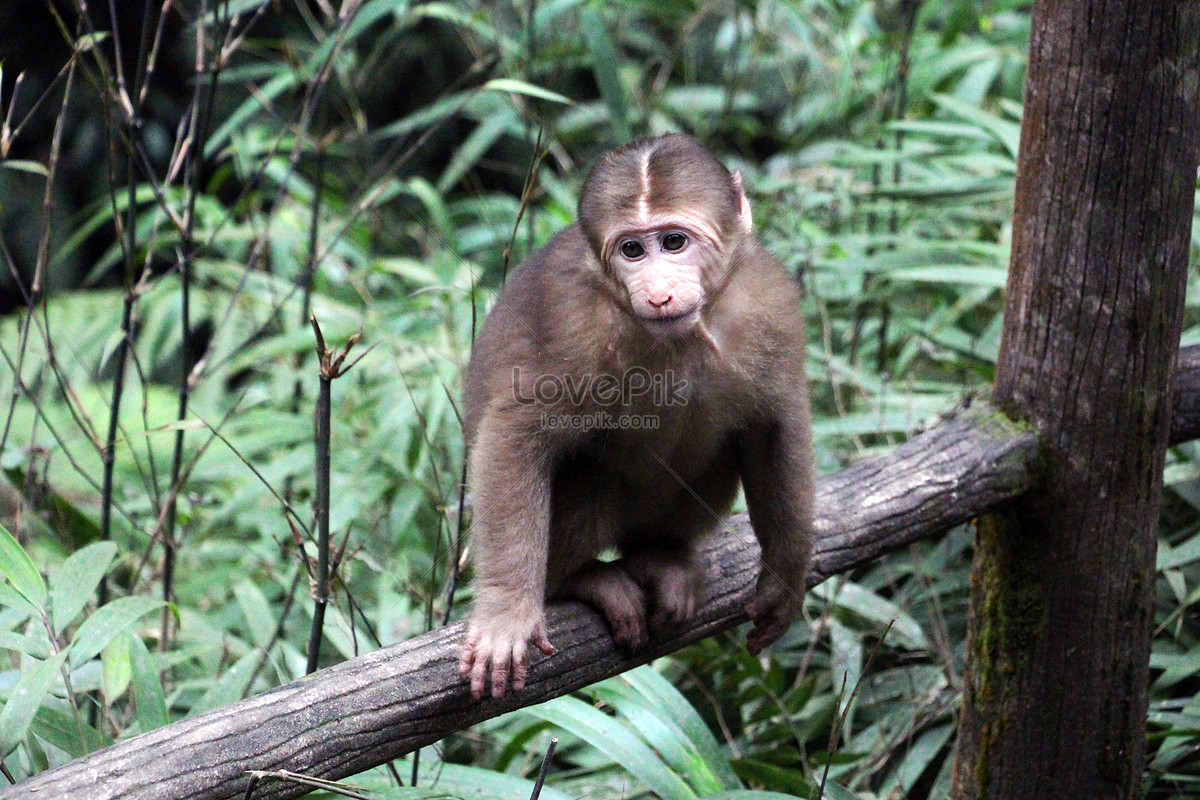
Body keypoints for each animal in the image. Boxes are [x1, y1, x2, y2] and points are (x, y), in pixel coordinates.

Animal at [458, 134, 816, 695]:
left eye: (674, 242)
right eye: (632, 250)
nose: (659, 291)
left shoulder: (770, 303)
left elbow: (772, 428)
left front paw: (785, 577)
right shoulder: (576, 327)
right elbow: (516, 436)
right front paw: (504, 614)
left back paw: (660, 555)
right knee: (591, 472)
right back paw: (579, 579)